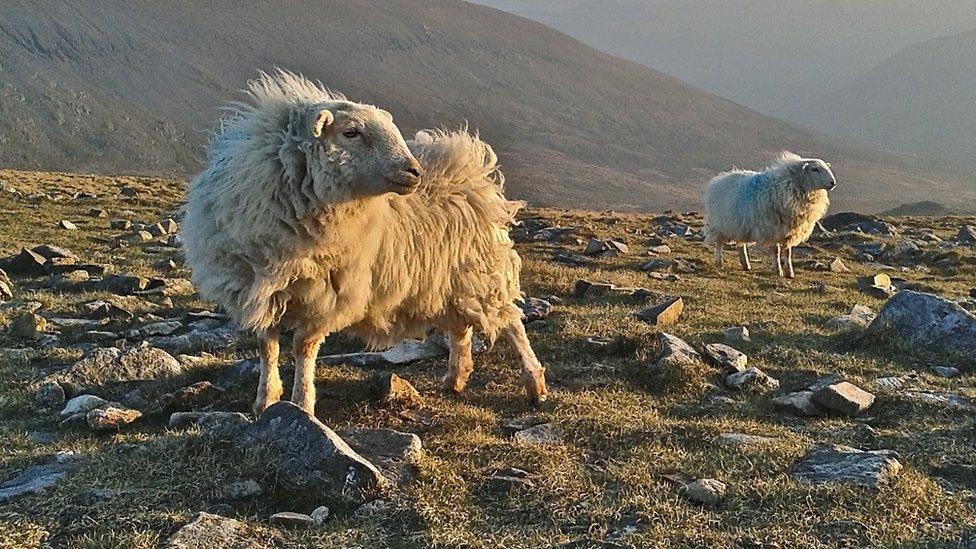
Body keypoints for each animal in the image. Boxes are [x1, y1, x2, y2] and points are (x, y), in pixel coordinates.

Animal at [181, 70, 548, 414]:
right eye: (351, 132)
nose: (413, 171)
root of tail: (471, 169)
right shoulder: (258, 288)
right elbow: (266, 347)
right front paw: (264, 402)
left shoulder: (325, 292)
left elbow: (303, 347)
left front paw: (302, 404)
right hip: (450, 280)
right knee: (461, 329)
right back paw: (455, 378)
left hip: (483, 273)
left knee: (512, 323)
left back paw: (534, 384)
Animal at [704, 151, 836, 276]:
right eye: (814, 169)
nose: (833, 183)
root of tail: (720, 178)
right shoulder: (772, 229)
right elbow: (776, 251)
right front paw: (778, 271)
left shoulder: (789, 231)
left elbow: (787, 253)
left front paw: (790, 272)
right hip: (720, 224)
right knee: (719, 243)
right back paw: (719, 261)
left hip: (740, 226)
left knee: (741, 244)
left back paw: (746, 264)